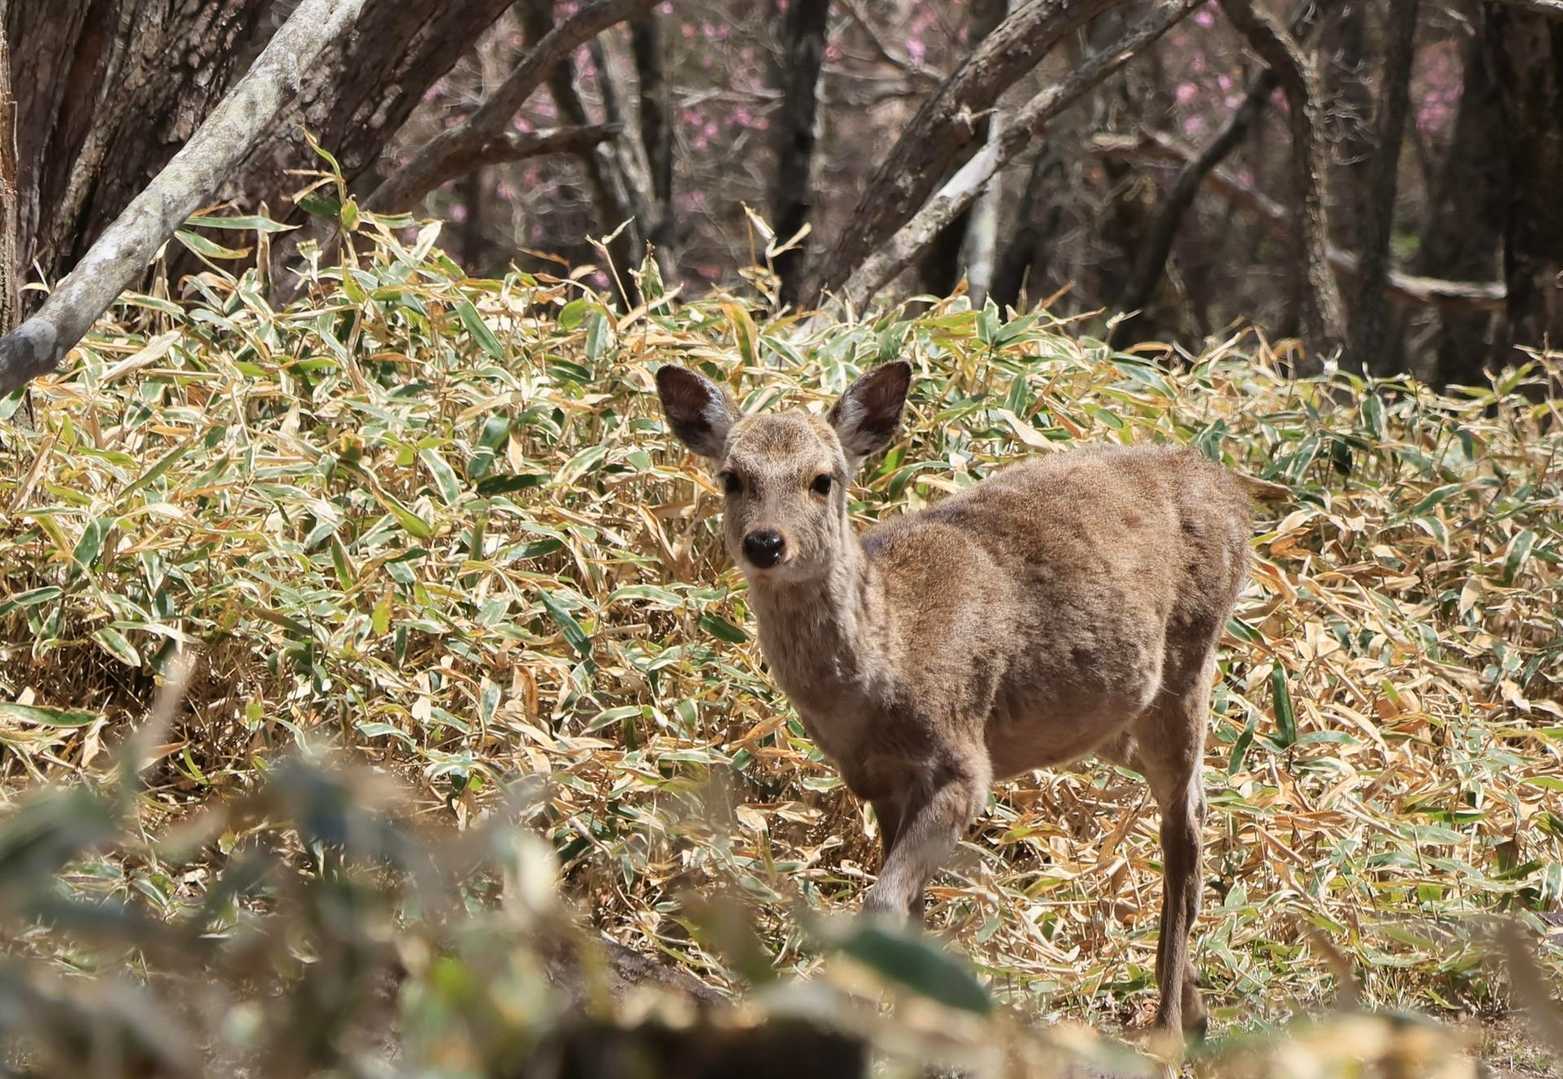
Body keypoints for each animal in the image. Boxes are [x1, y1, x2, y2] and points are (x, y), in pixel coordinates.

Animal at [655, 359, 1256, 1039]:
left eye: (822, 480)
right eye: (732, 477)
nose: (765, 542)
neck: (888, 656)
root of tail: (1231, 491)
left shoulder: (965, 763)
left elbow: (882, 903)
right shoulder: (877, 782)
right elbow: (909, 911)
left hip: (1190, 661)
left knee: (1185, 823)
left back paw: (1168, 1029)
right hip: (1113, 717)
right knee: (1193, 799)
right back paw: (1196, 1007)